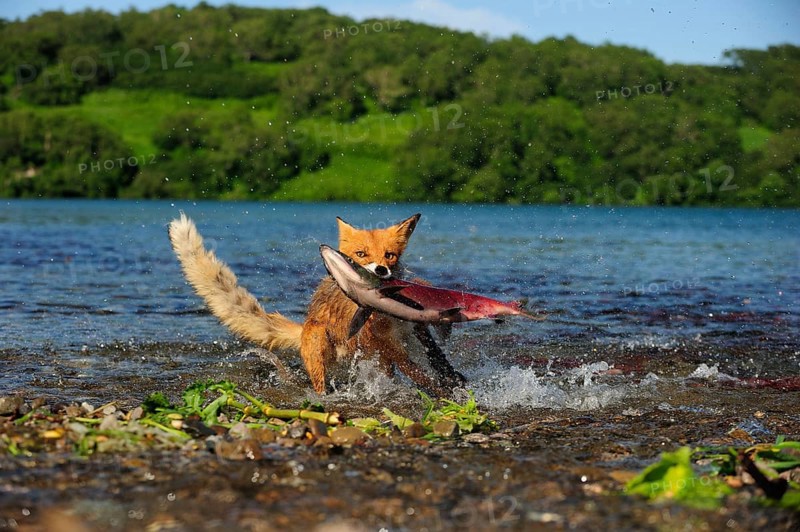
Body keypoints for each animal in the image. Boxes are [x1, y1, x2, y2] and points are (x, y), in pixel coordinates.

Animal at [168, 212, 464, 395]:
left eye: (389, 255)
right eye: (360, 254)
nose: (381, 271)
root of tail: (304, 325)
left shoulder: (414, 329)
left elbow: (436, 356)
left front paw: (452, 379)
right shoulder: (385, 342)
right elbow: (417, 372)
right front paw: (441, 391)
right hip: (321, 342)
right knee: (320, 385)